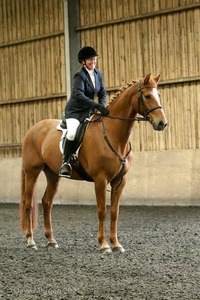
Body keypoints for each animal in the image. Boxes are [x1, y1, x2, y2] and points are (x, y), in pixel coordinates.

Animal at [20, 74, 167, 253]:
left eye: (158, 95)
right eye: (147, 96)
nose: (162, 123)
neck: (113, 134)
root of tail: (32, 129)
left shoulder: (120, 180)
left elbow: (114, 212)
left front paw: (116, 244)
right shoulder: (100, 179)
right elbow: (102, 211)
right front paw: (104, 244)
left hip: (53, 174)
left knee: (47, 203)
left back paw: (51, 240)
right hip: (32, 172)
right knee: (28, 203)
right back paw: (30, 241)